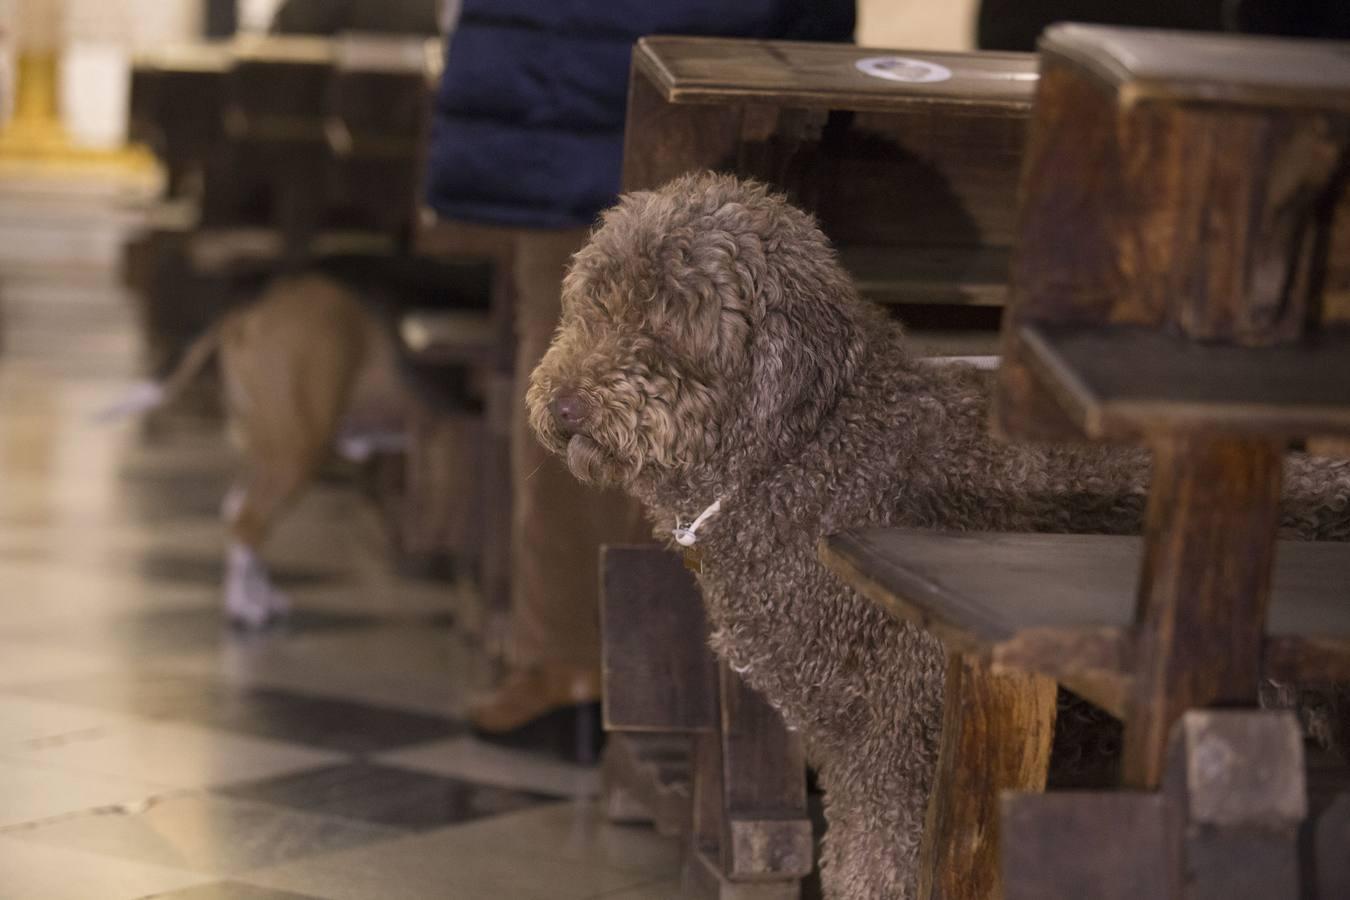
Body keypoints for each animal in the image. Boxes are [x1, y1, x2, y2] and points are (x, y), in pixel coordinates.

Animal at [526, 172, 1350, 895]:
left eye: (669, 319)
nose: (563, 404)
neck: (813, 451)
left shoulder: (894, 750)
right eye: (592, 304)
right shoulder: (848, 749)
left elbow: (876, 871)